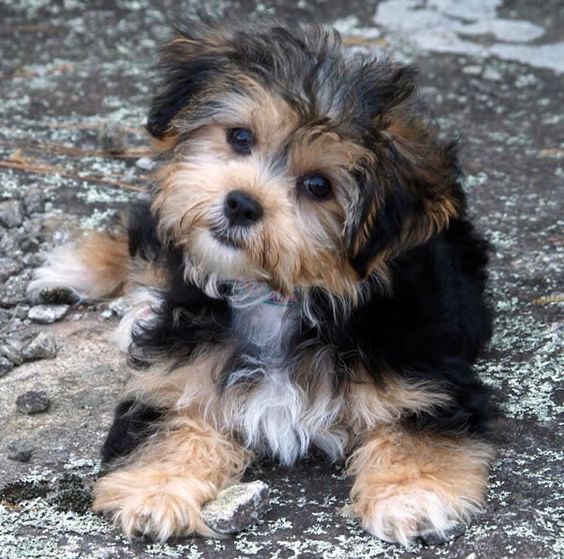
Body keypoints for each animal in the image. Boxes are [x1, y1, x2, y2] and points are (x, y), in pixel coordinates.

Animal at [29, 14, 494, 548]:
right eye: (239, 137)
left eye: (318, 186)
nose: (240, 203)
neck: (277, 294)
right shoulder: (177, 373)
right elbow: (173, 421)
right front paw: (156, 488)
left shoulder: (428, 377)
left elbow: (414, 430)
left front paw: (411, 495)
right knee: (147, 239)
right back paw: (74, 272)